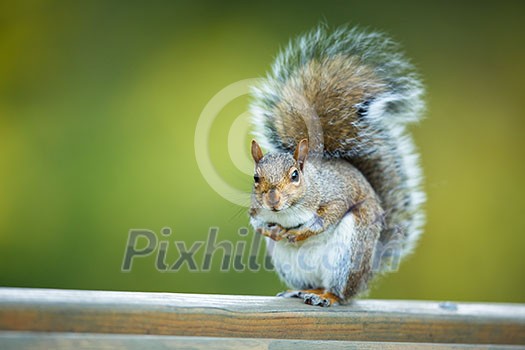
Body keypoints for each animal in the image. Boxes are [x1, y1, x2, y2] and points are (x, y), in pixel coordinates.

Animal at [248, 25, 424, 306]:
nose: (273, 201)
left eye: (295, 175)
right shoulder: (256, 210)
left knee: (341, 293)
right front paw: (272, 231)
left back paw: (326, 296)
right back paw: (302, 291)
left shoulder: (335, 196)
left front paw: (299, 234)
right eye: (256, 178)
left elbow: (327, 216)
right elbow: (256, 222)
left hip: (349, 254)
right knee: (311, 284)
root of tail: (367, 273)